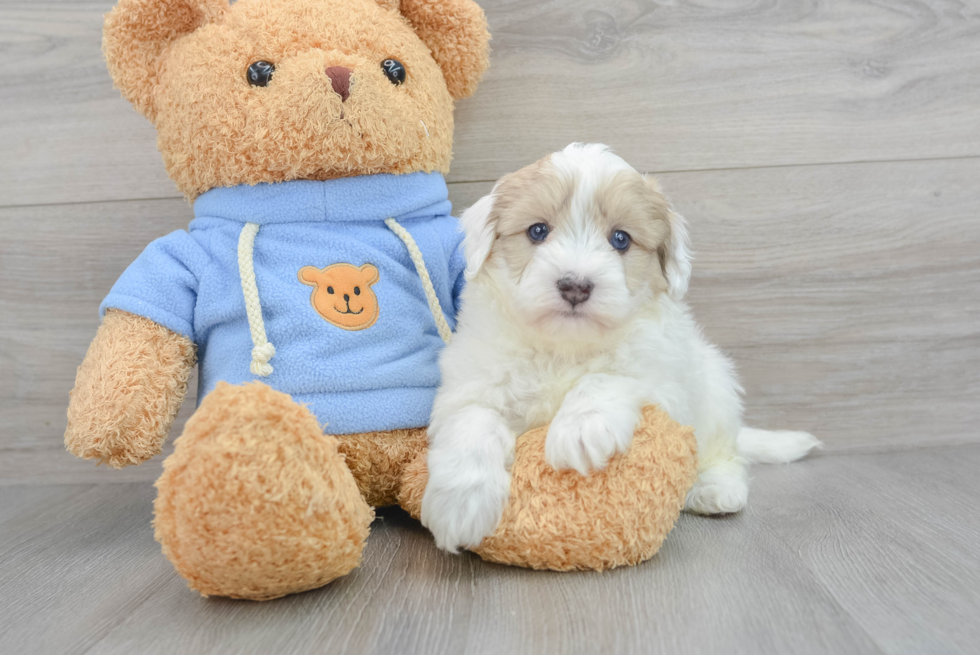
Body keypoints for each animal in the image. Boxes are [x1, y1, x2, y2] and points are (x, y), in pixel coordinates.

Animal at [422, 144, 820, 552]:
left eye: (621, 240)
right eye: (537, 231)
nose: (575, 286)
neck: (563, 347)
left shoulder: (663, 379)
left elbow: (608, 377)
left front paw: (581, 428)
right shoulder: (470, 383)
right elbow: (472, 420)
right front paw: (460, 503)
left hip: (716, 388)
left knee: (725, 453)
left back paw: (716, 488)